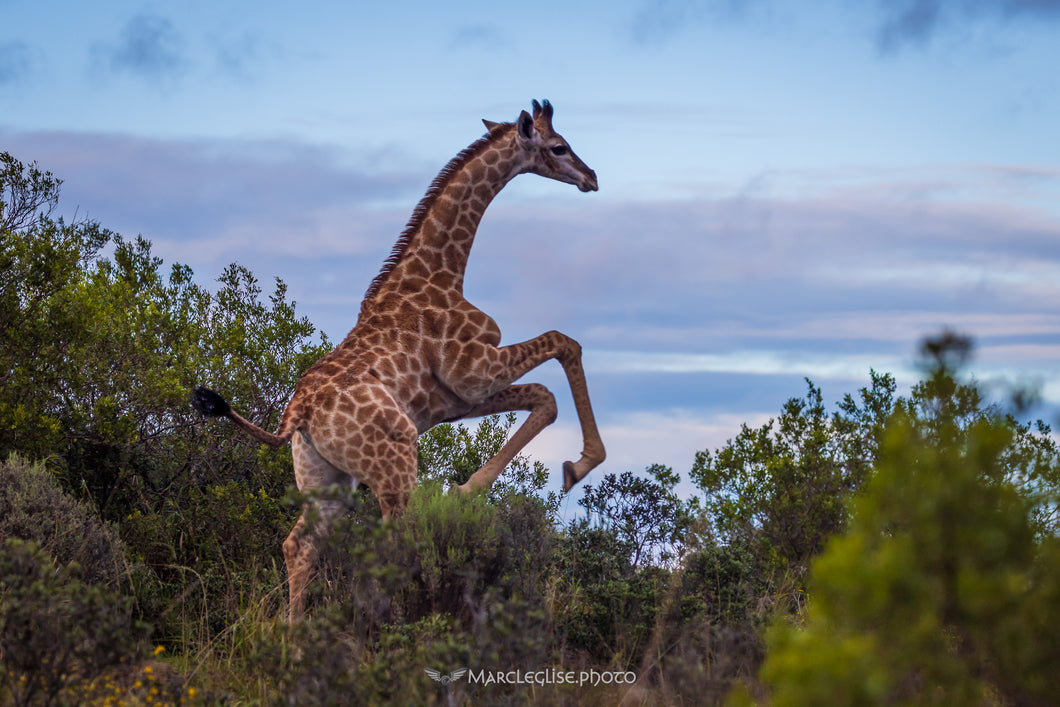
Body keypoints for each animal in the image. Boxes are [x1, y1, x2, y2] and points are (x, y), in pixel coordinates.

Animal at [193, 99, 606, 619]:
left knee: (299, 544)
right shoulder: (474, 372)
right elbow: (563, 342)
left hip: (326, 478)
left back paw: (295, 633)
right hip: (395, 463)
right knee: (395, 539)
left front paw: (494, 484)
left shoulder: (457, 400)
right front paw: (580, 464)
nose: (592, 177)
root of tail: (295, 419)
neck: (439, 273)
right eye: (559, 147)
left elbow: (545, 399)